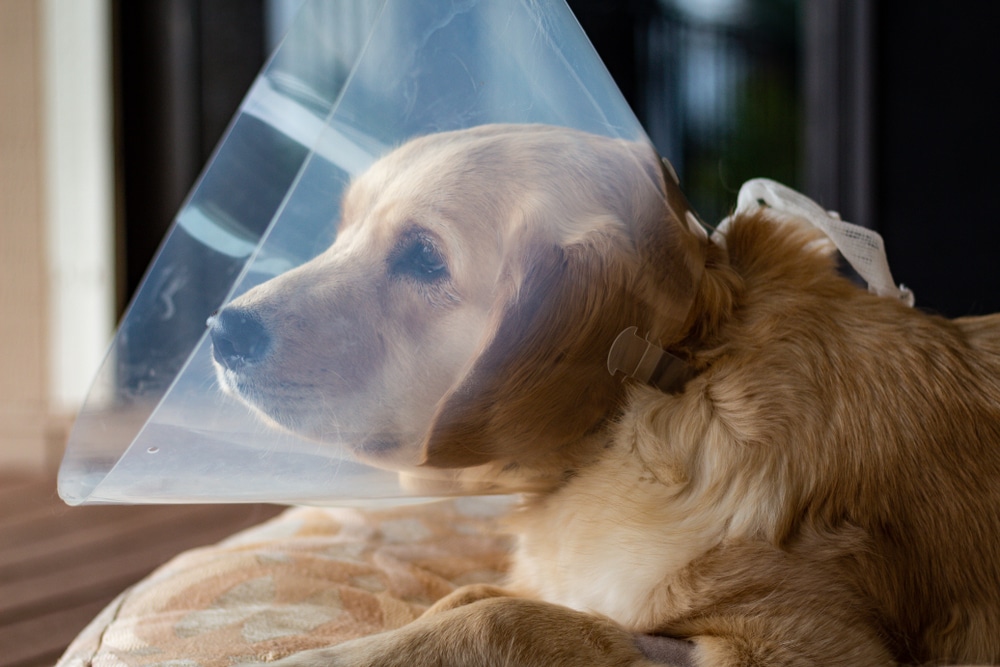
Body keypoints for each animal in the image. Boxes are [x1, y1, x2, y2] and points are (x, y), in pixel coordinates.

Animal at [211, 124, 1000, 664]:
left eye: (426, 257)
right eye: (342, 230)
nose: (221, 329)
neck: (671, 378)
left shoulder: (801, 643)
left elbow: (500, 618)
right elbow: (474, 595)